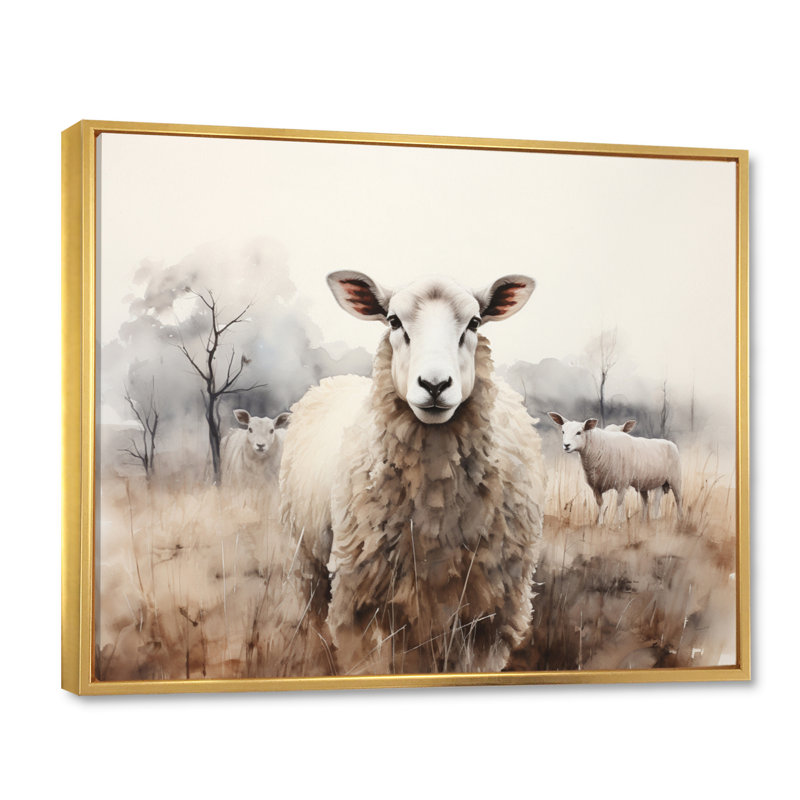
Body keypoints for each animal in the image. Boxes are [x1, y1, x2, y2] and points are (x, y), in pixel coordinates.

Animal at [280, 271, 546, 675]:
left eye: (474, 322)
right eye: (394, 321)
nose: (434, 385)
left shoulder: (493, 611)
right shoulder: (357, 601)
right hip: (307, 562)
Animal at [548, 412, 682, 525]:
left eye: (579, 432)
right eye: (563, 431)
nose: (566, 445)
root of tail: (670, 443)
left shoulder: (622, 484)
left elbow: (619, 503)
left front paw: (619, 523)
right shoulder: (596, 486)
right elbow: (600, 504)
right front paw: (600, 524)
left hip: (675, 479)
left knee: (677, 500)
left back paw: (679, 521)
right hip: (651, 483)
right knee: (648, 502)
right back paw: (645, 522)